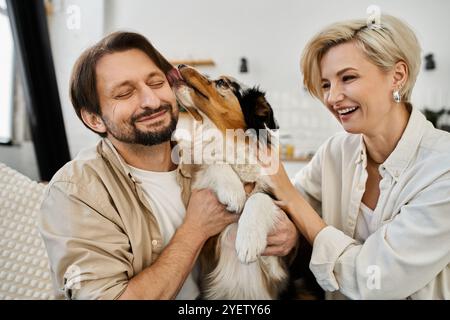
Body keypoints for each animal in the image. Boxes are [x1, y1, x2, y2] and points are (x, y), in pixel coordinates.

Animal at [168, 65, 288, 300]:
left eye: (222, 83)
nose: (181, 66)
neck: (226, 138)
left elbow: (259, 197)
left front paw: (248, 240)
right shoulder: (207, 245)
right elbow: (214, 162)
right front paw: (233, 192)